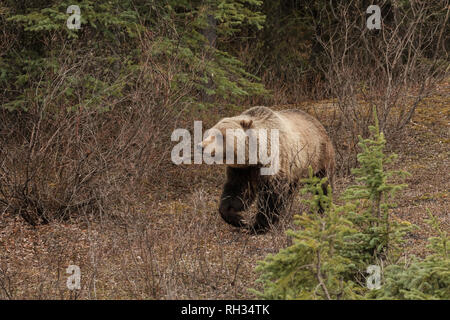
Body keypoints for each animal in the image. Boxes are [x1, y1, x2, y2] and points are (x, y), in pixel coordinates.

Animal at [200, 106, 334, 234]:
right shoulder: (243, 170)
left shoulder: (274, 163)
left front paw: (258, 226)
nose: (200, 146)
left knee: (321, 183)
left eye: (219, 135)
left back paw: (323, 207)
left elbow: (271, 197)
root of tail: (317, 121)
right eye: (208, 133)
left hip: (317, 156)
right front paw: (237, 218)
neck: (254, 156)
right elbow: (238, 192)